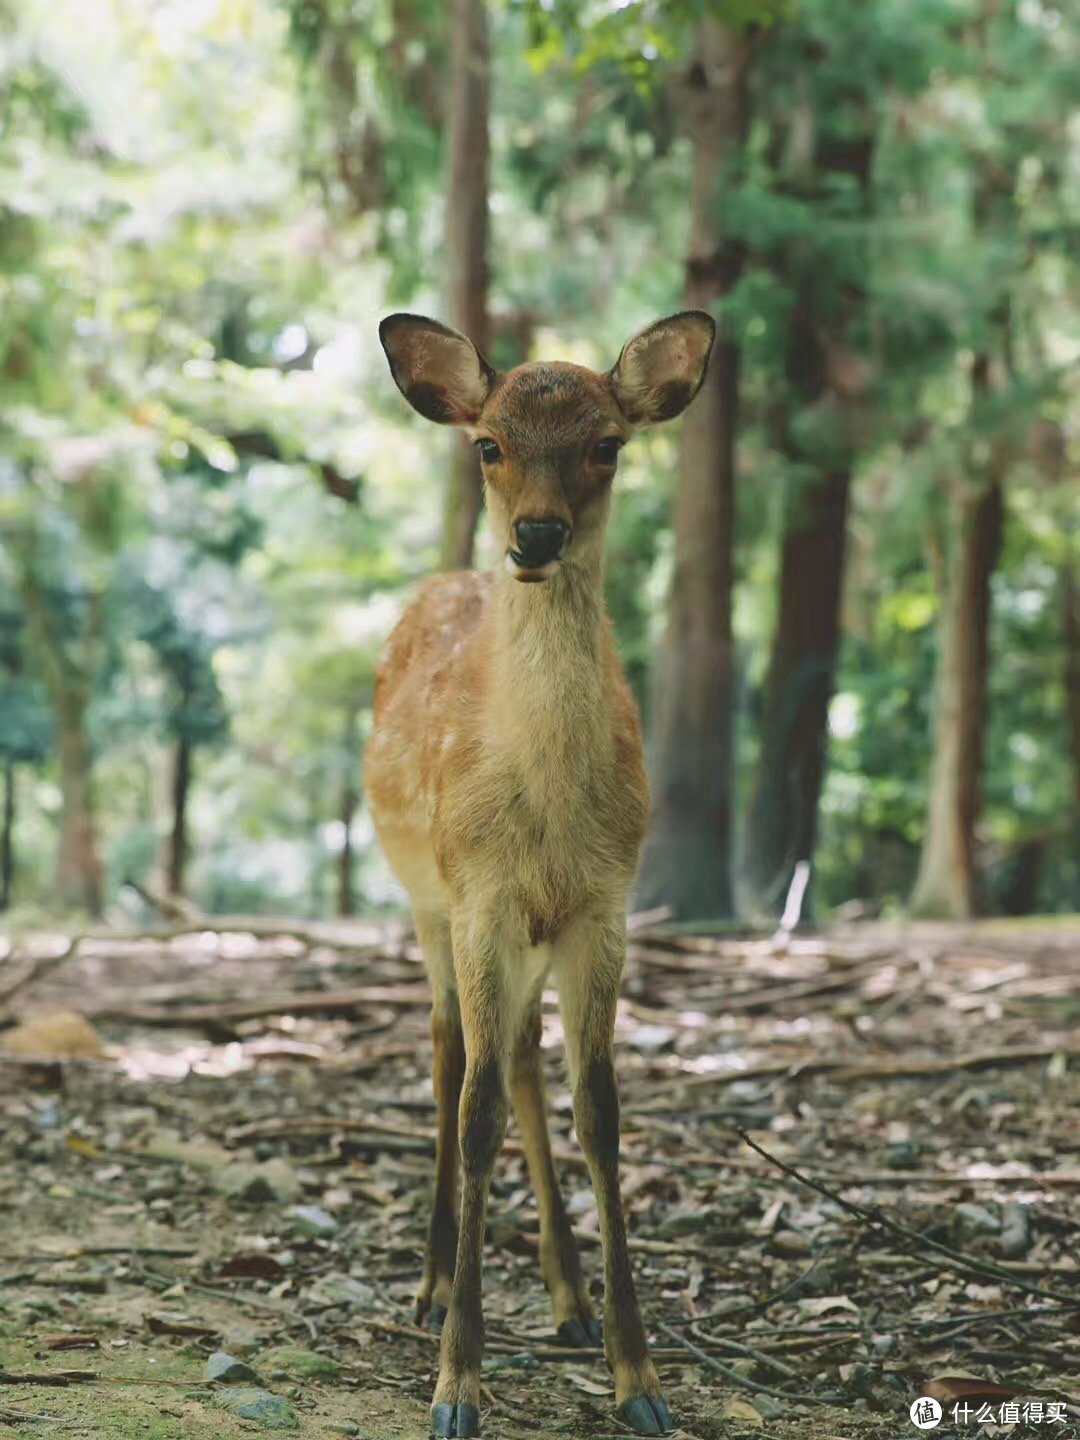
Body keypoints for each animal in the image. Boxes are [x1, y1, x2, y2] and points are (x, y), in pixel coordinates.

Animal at [368, 309, 714, 1434]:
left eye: (607, 444)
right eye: (489, 444)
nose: (536, 537)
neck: (549, 817)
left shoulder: (602, 908)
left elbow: (599, 1113)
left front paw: (638, 1377)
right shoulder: (479, 895)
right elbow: (475, 1114)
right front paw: (457, 1387)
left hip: (523, 936)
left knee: (517, 1057)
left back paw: (566, 1301)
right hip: (428, 904)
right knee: (450, 1054)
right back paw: (432, 1288)